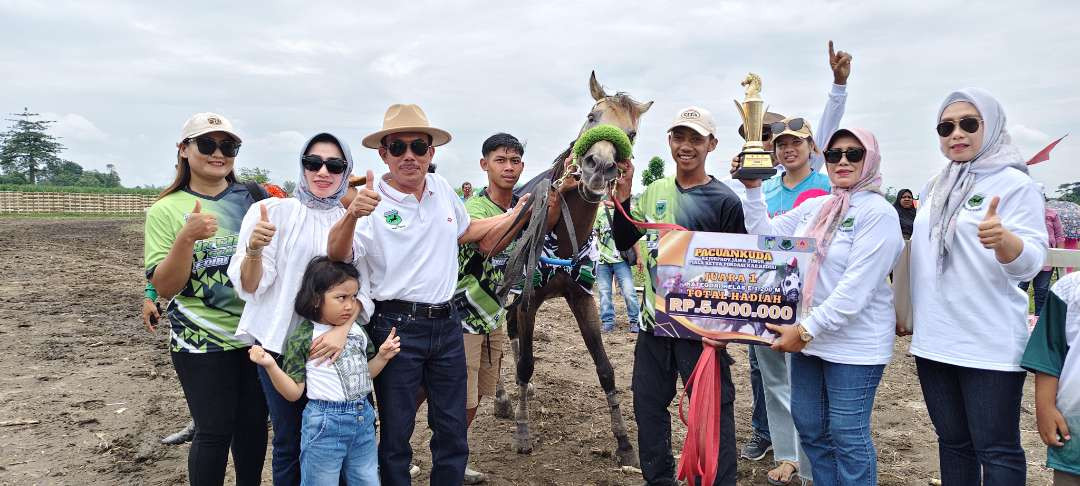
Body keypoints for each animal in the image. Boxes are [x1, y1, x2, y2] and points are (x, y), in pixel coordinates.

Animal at [494, 69, 652, 466]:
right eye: (592, 116)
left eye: (630, 134)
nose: (600, 166)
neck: (561, 235)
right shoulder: (529, 299)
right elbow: (526, 363)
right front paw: (522, 433)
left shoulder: (582, 297)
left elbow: (606, 368)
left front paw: (624, 443)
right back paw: (502, 397)